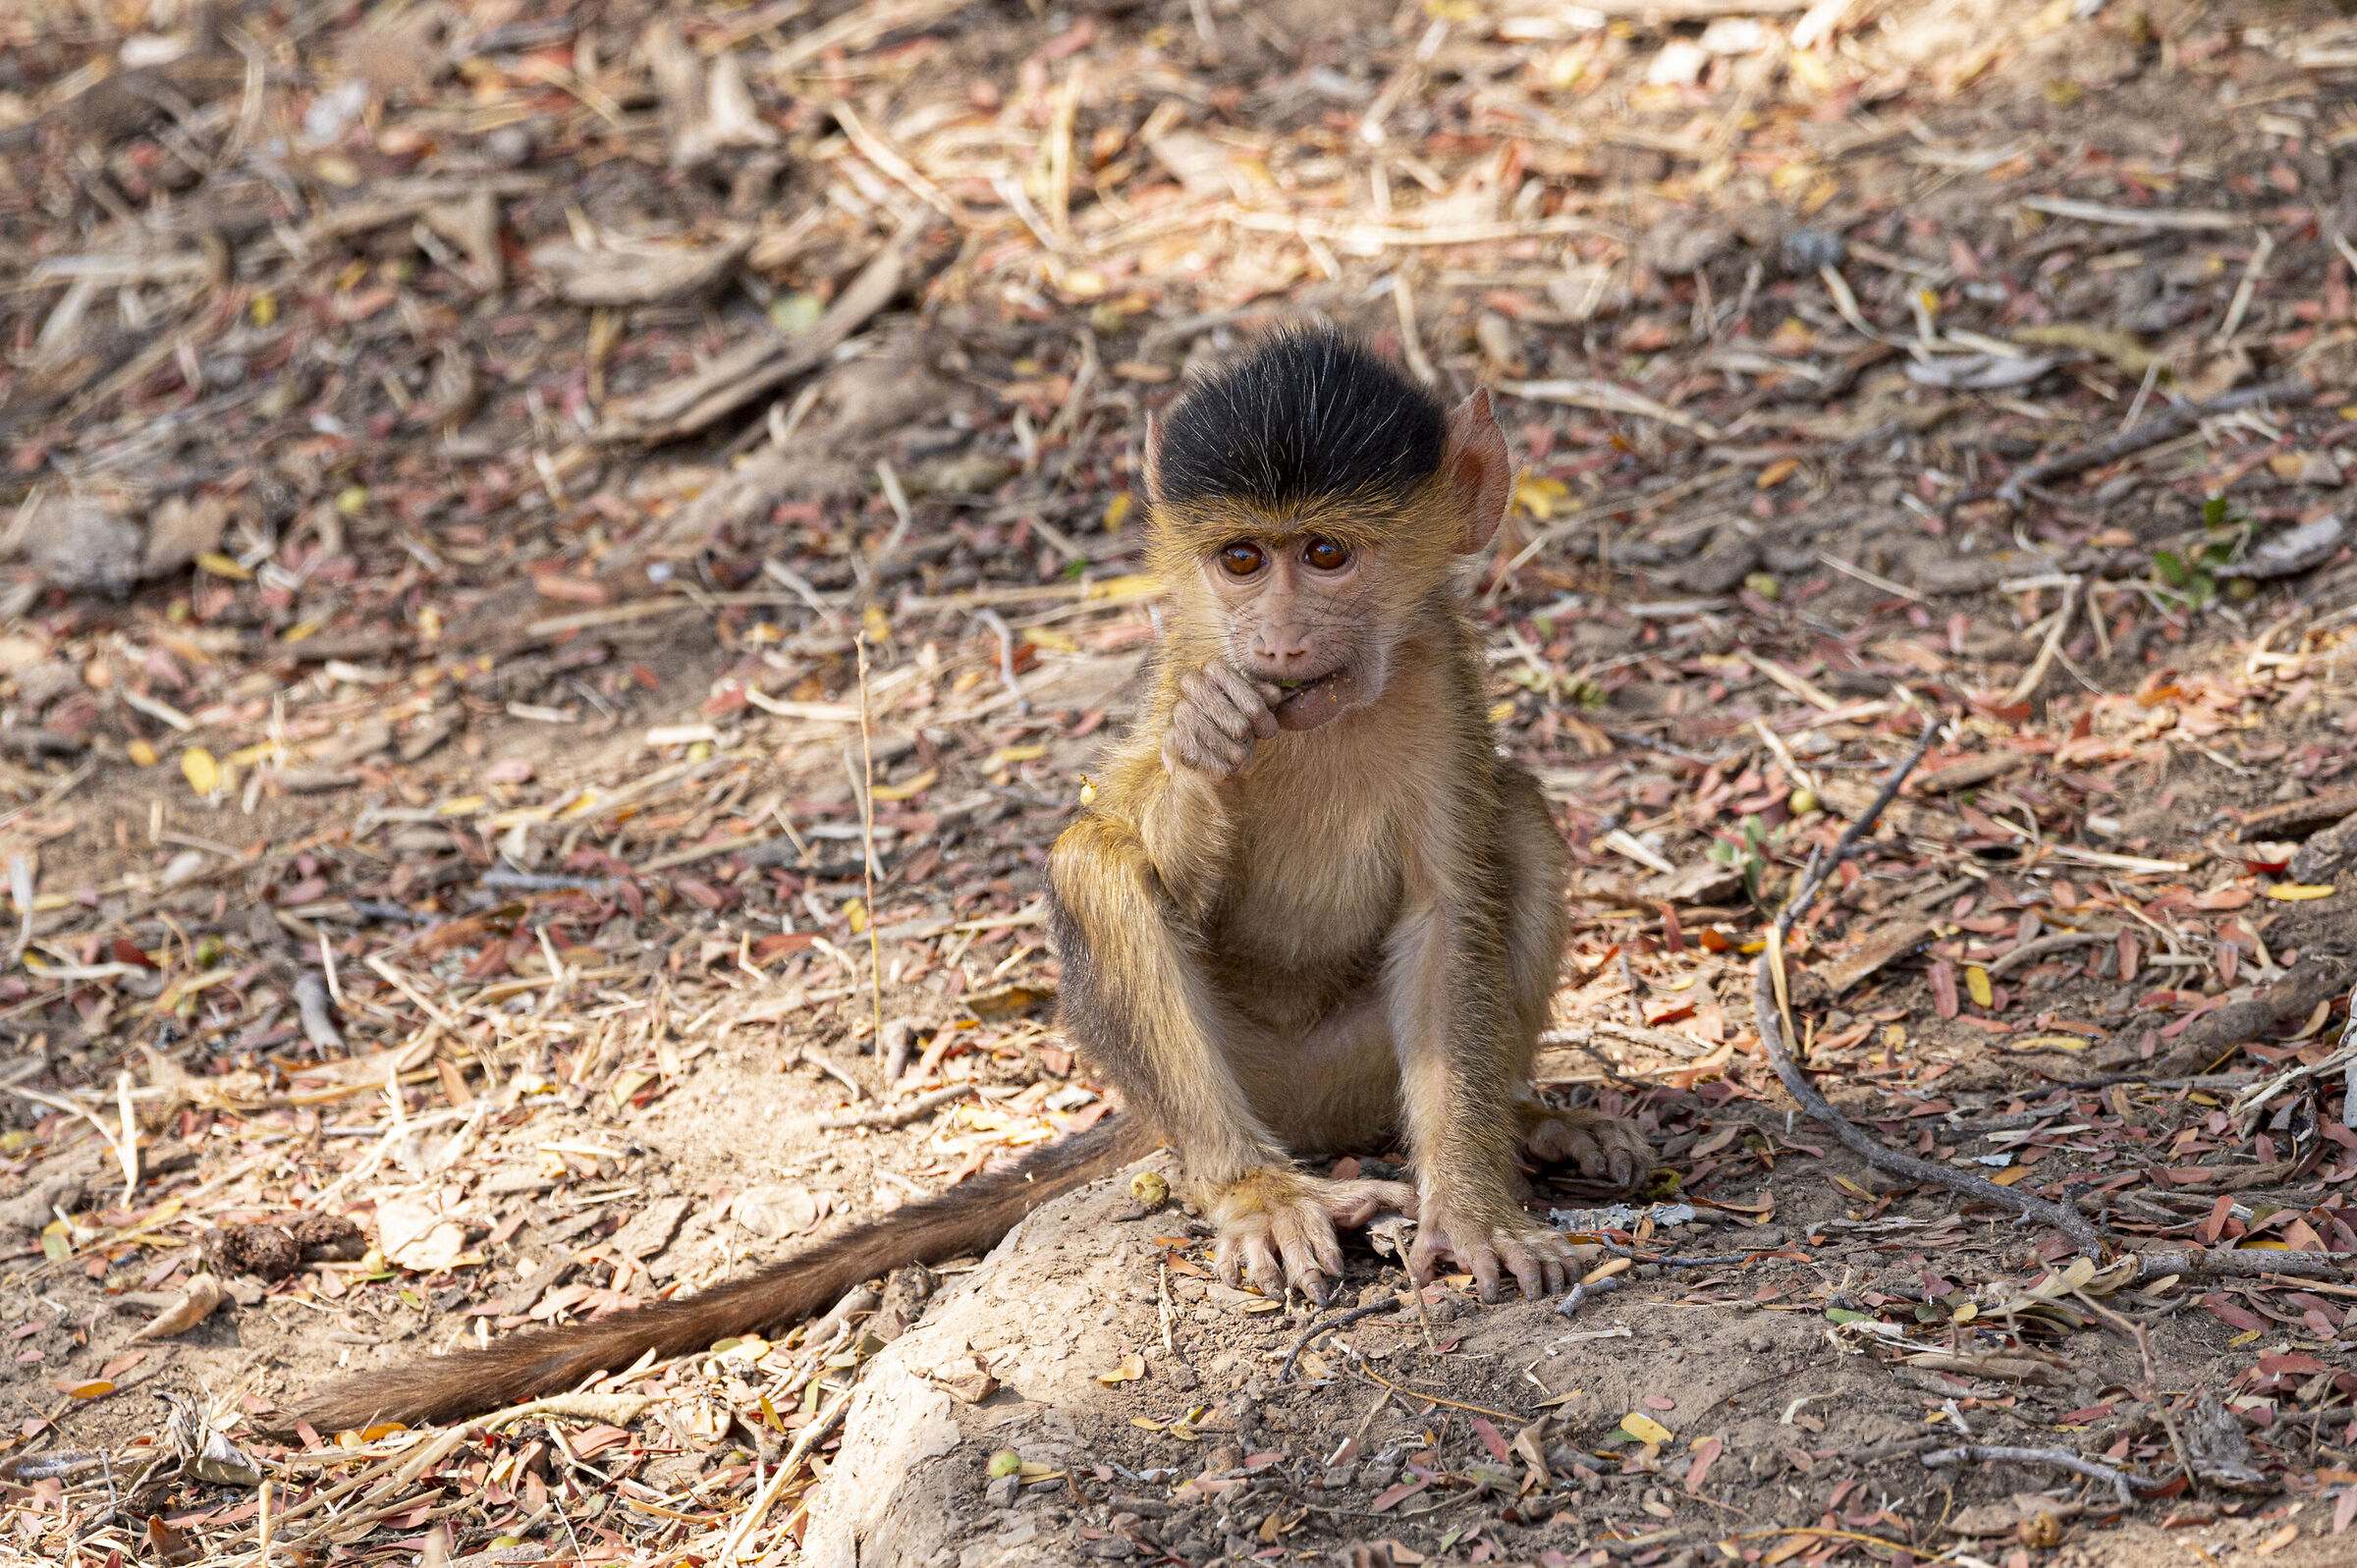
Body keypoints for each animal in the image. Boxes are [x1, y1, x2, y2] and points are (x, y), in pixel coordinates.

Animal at [294, 327, 1646, 1433]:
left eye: (1325, 553)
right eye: (1240, 561)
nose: (1275, 645)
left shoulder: (1440, 676)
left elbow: (1449, 905)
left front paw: (1472, 1205)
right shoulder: (1188, 654)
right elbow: (1125, 839)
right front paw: (1207, 751)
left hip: (1346, 1069)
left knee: (1519, 820)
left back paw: (1526, 1115)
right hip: (1244, 1079)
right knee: (1096, 867)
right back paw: (1249, 1189)